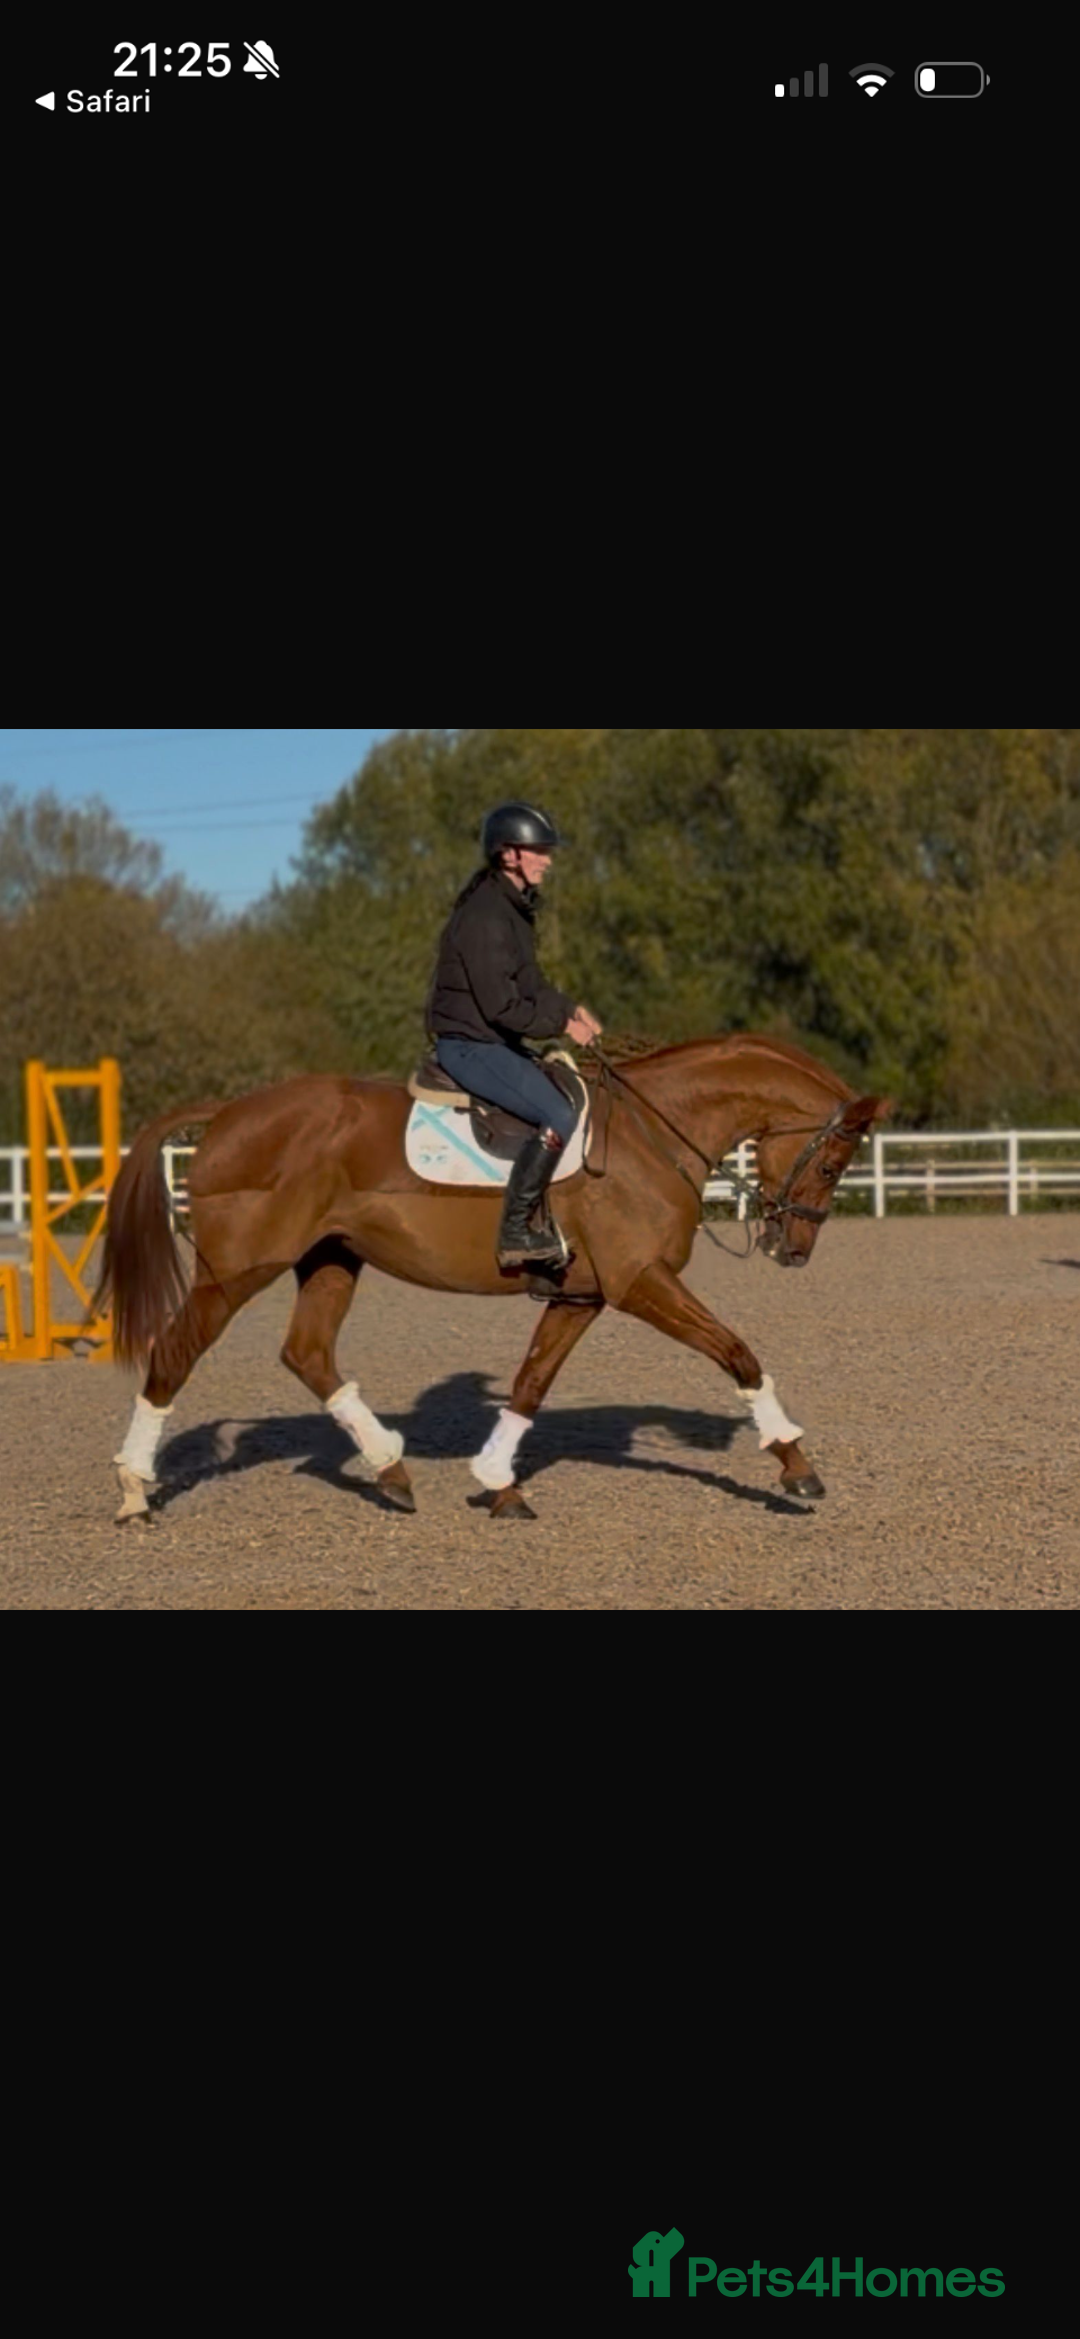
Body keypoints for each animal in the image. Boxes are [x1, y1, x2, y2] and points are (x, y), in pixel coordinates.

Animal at [93, 1035, 892, 1524]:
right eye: (831, 1163)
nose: (794, 1248)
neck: (654, 1131)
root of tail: (230, 1112)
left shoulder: (582, 1293)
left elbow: (531, 1382)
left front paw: (499, 1483)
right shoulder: (641, 1282)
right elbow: (737, 1353)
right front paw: (793, 1462)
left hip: (331, 1259)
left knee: (308, 1353)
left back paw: (390, 1470)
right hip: (235, 1272)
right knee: (173, 1356)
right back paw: (134, 1490)